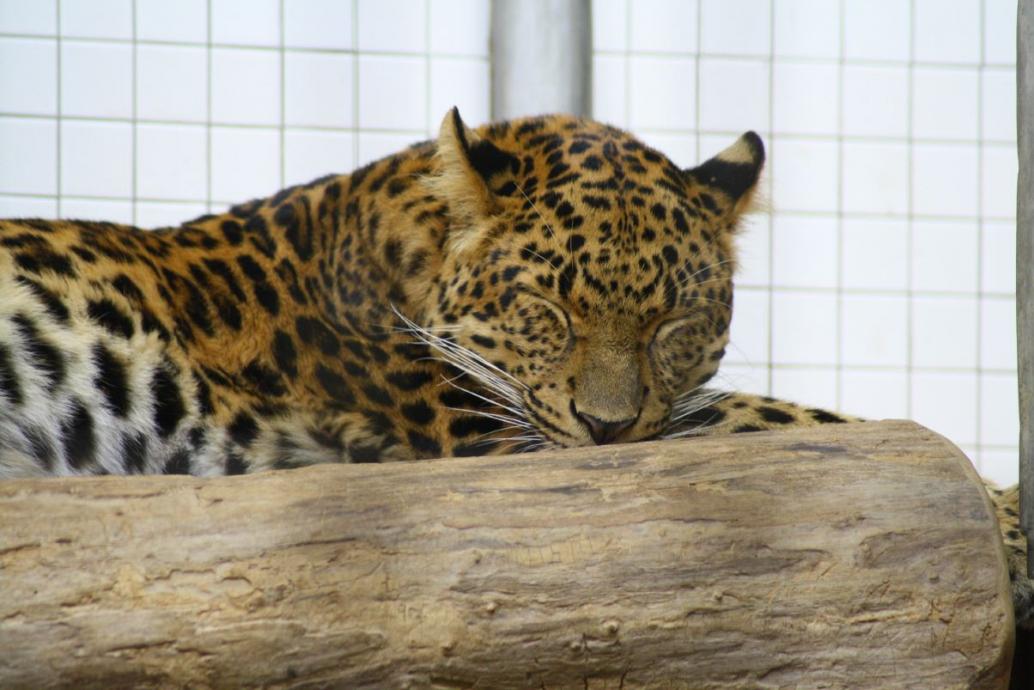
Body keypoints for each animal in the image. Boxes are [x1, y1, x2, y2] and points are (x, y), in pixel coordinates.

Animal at [0, 108, 1028, 634]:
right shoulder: (495, 438)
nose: (608, 427)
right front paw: (1008, 516)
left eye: (674, 321)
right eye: (550, 308)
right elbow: (783, 420)